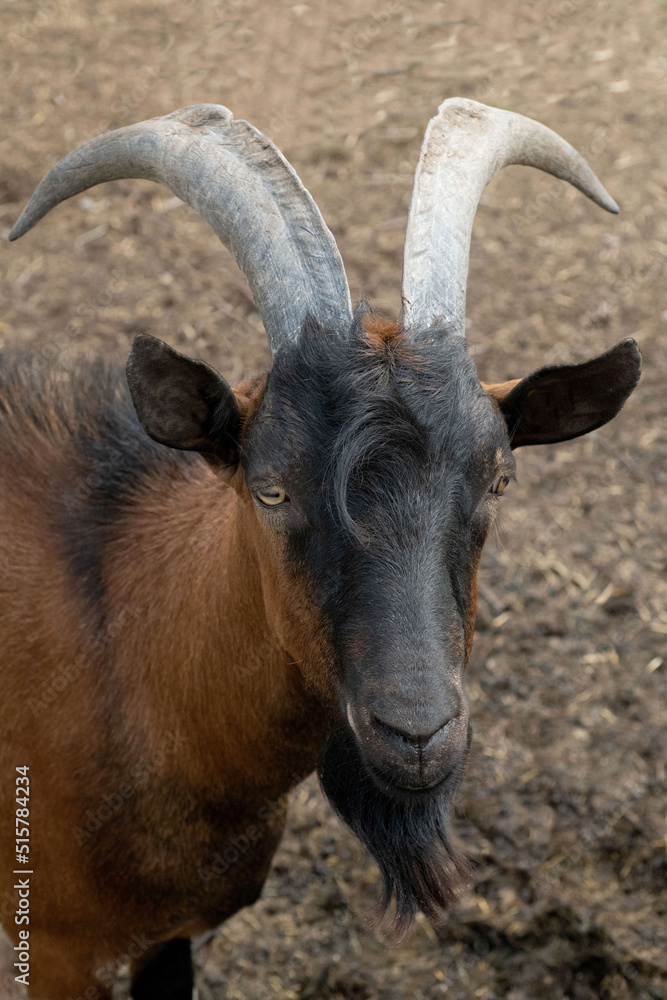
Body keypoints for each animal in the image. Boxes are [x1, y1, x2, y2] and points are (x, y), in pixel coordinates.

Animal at [0, 98, 640, 1000]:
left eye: (498, 480)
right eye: (270, 489)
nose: (416, 734)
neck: (120, 644)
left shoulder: (172, 933)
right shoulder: (58, 948)